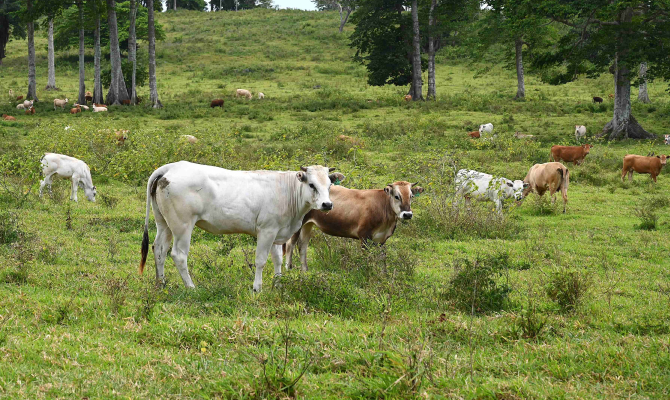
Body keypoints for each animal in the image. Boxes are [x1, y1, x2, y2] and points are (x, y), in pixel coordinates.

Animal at [139, 163, 343, 292]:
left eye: (329, 185)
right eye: (312, 184)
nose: (327, 204)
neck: (286, 191)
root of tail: (171, 167)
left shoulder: (277, 232)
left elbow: (277, 259)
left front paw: (278, 285)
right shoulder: (266, 231)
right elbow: (261, 260)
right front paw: (257, 287)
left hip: (164, 223)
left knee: (159, 249)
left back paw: (161, 283)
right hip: (182, 226)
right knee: (178, 255)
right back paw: (191, 287)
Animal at [284, 181, 422, 271]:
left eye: (411, 196)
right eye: (397, 196)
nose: (407, 214)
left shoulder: (382, 239)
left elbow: (382, 258)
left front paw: (384, 275)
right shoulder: (364, 236)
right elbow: (366, 258)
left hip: (308, 223)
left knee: (303, 245)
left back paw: (305, 270)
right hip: (297, 222)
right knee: (291, 244)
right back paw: (288, 269)